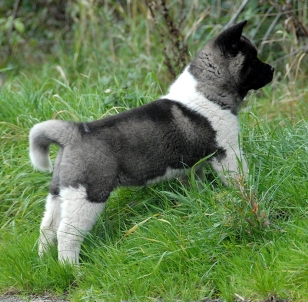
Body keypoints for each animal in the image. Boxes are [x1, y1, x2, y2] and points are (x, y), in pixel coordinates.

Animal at [29, 20, 274, 264]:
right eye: (253, 59)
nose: (272, 69)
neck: (207, 91)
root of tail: (74, 132)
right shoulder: (228, 152)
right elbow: (241, 178)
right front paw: (250, 194)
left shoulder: (193, 167)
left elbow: (197, 184)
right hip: (88, 195)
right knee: (67, 234)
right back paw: (72, 268)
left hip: (61, 191)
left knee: (47, 227)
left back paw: (44, 262)